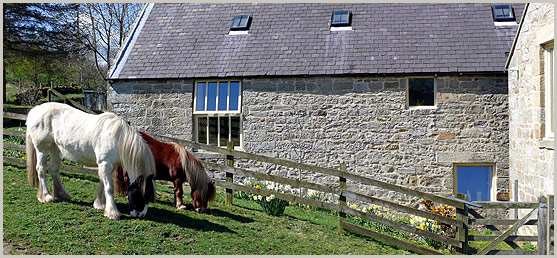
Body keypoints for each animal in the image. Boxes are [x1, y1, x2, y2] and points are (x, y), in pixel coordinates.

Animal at [25, 103, 155, 220]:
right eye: (144, 195)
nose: (141, 215)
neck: (118, 138)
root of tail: (35, 111)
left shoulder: (108, 165)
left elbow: (103, 183)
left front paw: (100, 204)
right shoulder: (105, 163)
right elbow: (109, 188)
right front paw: (112, 213)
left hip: (55, 149)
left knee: (53, 169)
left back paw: (62, 194)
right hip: (42, 149)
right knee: (41, 170)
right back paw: (46, 196)